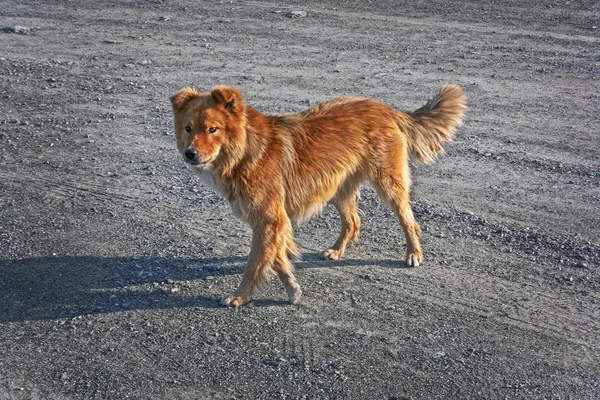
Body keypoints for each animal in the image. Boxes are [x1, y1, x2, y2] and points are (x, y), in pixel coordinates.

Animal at [169, 83, 464, 306]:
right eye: (188, 128)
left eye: (212, 129)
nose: (190, 154)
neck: (245, 151)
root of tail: (386, 109)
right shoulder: (272, 220)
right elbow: (276, 258)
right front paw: (292, 288)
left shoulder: (269, 218)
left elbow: (255, 263)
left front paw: (240, 297)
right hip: (337, 187)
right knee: (353, 222)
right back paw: (336, 250)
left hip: (387, 183)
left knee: (409, 220)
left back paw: (413, 254)